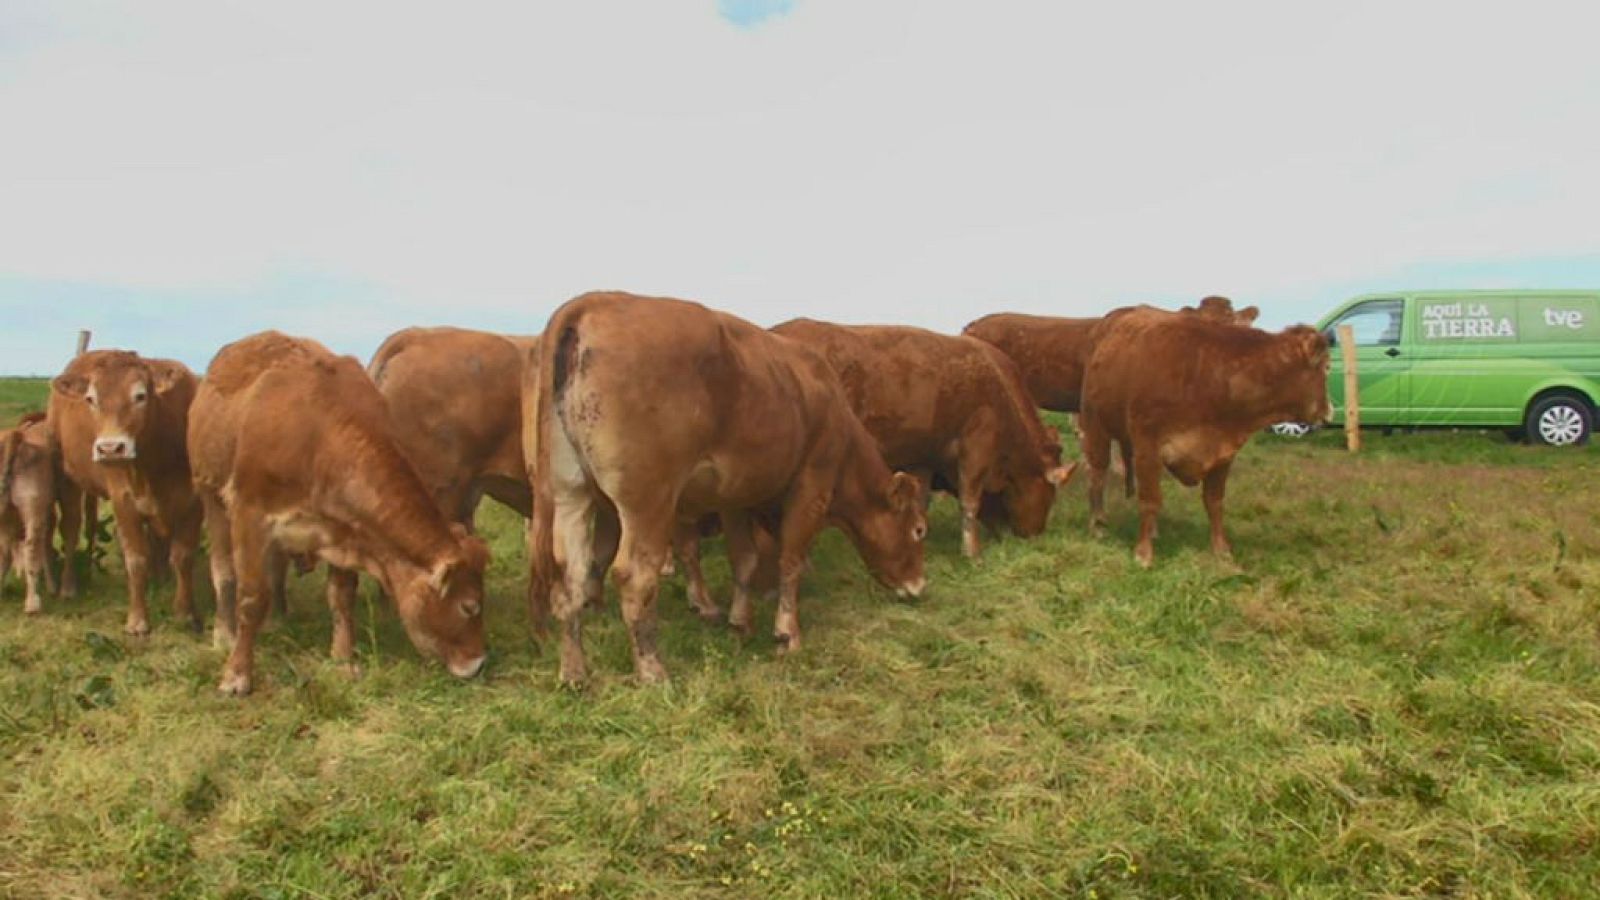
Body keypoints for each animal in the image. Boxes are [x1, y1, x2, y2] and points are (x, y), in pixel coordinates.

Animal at [48, 350, 204, 635]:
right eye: (91, 399)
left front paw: (185, 612)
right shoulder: (124, 502)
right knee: (71, 529)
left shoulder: (193, 504)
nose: (110, 448)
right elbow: (136, 559)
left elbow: (183, 557)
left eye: (140, 396)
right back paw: (68, 586)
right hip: (68, 479)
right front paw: (138, 620)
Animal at [188, 332, 489, 696]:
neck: (318, 435)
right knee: (223, 571)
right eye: (468, 606)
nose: (479, 662)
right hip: (211, 496)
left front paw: (344, 660)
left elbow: (342, 596)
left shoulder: (345, 529)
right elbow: (251, 597)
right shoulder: (250, 513)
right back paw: (225, 633)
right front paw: (237, 674)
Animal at [526, 292, 928, 686]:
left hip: (570, 493)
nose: (919, 585)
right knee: (634, 578)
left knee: (571, 577)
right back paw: (653, 671)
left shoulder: (735, 498)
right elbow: (790, 560)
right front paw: (787, 634)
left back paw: (574, 672)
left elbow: (745, 560)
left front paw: (740, 622)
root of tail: (594, 301)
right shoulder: (812, 487)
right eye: (919, 530)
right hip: (648, 501)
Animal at [771, 320, 1075, 558]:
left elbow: (921, 500)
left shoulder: (921, 457)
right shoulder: (977, 442)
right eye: (1050, 494)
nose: (1035, 535)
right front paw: (971, 553)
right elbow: (970, 500)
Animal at [1078, 309, 1331, 566]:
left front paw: (1221, 550)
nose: (1328, 411)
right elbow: (1149, 500)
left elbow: (1214, 502)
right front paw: (1143, 553)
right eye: (1327, 367)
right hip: (1095, 425)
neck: (1211, 376)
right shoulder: (1147, 449)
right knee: (1097, 474)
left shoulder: (1223, 452)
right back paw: (1097, 525)